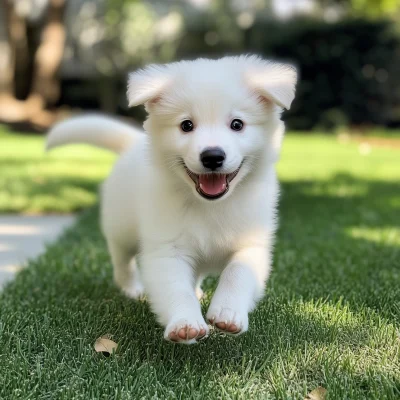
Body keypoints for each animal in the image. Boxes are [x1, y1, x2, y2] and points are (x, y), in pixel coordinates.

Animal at [47, 55, 296, 344]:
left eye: (237, 124)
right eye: (186, 125)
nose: (212, 156)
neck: (210, 206)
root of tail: (133, 142)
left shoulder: (252, 242)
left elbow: (238, 273)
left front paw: (228, 313)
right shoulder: (167, 248)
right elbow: (175, 287)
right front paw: (185, 322)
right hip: (121, 228)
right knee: (122, 260)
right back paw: (132, 288)